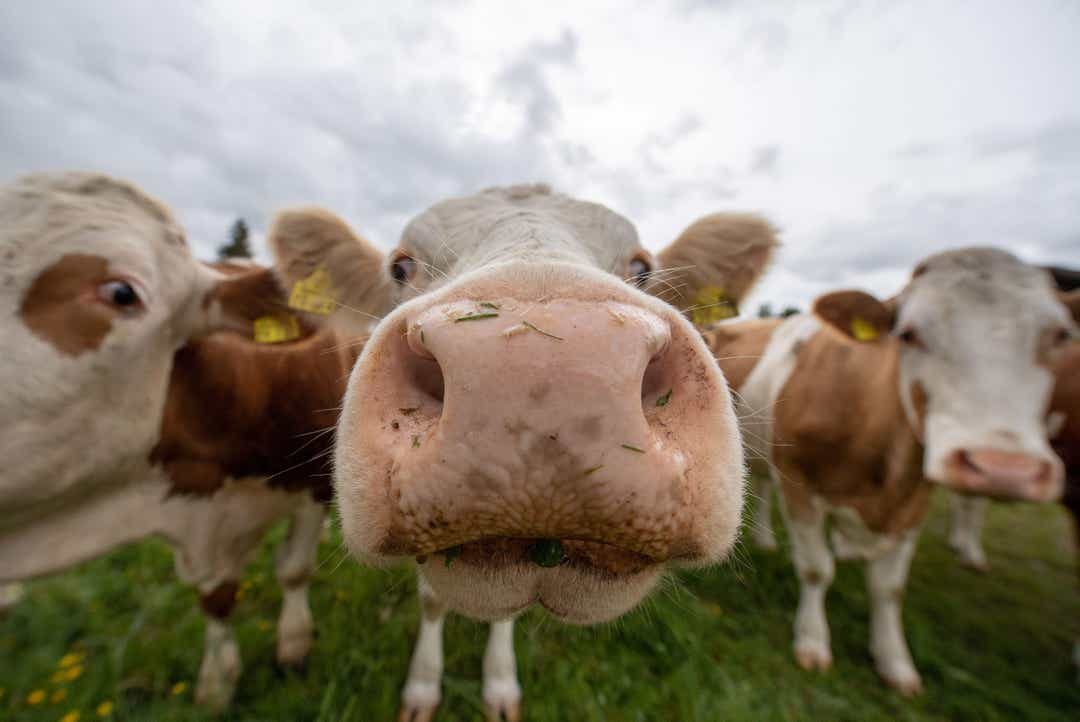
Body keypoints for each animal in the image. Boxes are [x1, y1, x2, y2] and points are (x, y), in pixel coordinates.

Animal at [0, 173, 356, 709]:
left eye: (120, 292)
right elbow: (215, 598)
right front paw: (216, 684)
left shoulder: (314, 481)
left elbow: (293, 569)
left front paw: (293, 647)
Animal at [267, 186, 778, 721]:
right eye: (400, 267)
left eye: (642, 268)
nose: (541, 368)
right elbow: (432, 605)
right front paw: (423, 687)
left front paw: (499, 684)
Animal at [707, 248, 1080, 694]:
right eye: (909, 334)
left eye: (1060, 335)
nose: (1004, 469)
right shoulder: (800, 483)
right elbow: (816, 569)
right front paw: (813, 642)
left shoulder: (914, 502)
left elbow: (888, 588)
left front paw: (895, 662)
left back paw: (767, 539)